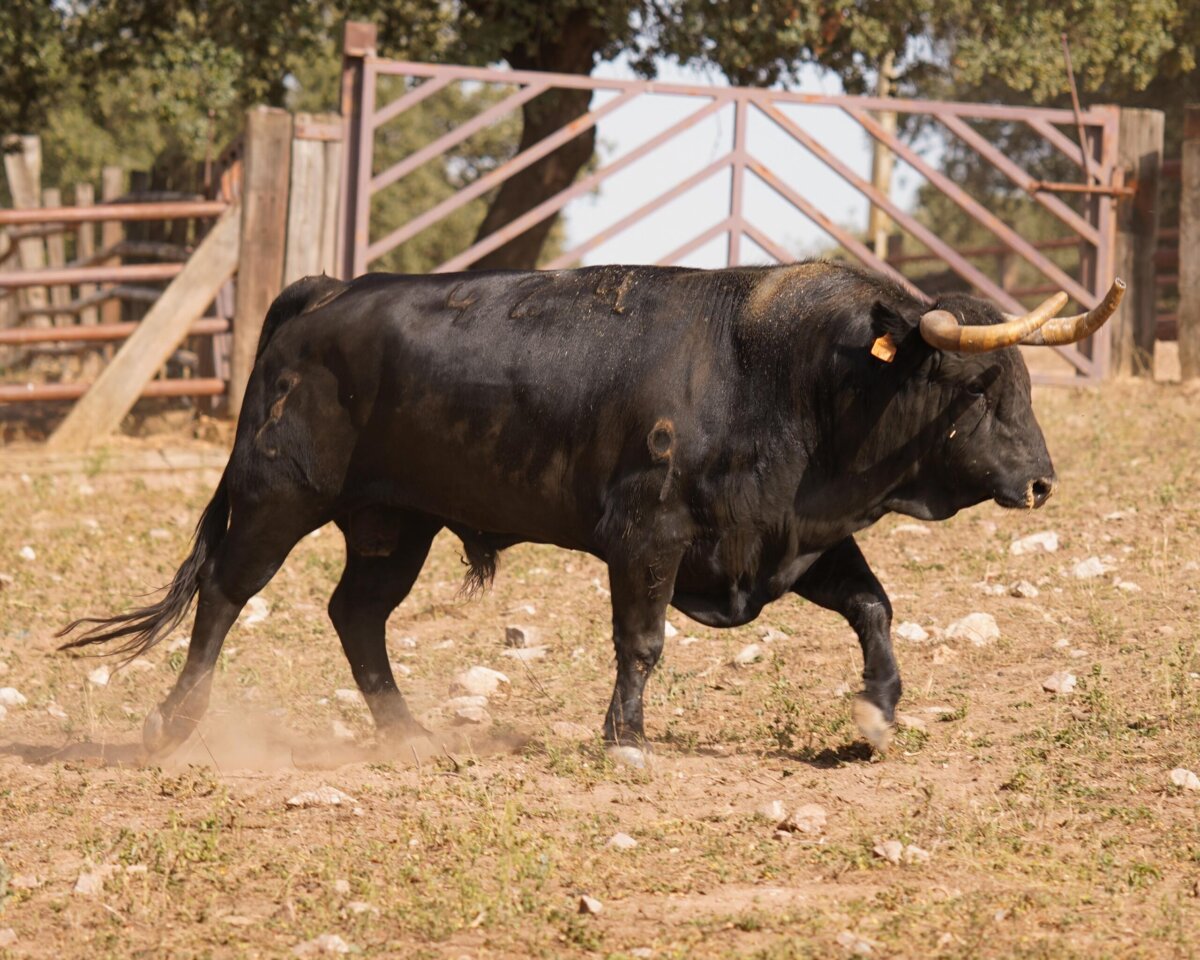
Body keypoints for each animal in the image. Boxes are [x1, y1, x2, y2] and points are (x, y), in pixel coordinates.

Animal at [59, 261, 1125, 760]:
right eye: (979, 386)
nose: (1042, 482)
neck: (779, 373)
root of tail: (327, 293)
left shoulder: (791, 541)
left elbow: (874, 608)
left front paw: (877, 712)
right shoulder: (648, 540)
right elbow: (641, 641)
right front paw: (627, 738)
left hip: (393, 524)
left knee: (355, 615)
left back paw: (409, 733)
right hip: (279, 495)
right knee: (226, 598)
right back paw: (174, 724)